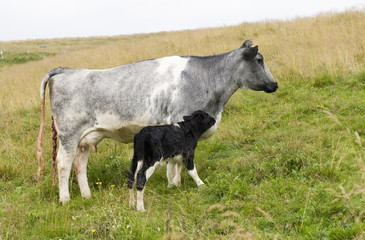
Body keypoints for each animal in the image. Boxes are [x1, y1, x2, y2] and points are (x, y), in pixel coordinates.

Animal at [36, 39, 276, 204]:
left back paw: (87, 196)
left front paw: (173, 185)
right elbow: (176, 163)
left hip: (85, 139)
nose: (275, 84)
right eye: (259, 60)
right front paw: (175, 184)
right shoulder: (178, 124)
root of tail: (66, 70)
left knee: (79, 165)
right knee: (63, 164)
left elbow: (175, 161)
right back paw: (65, 199)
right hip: (68, 134)